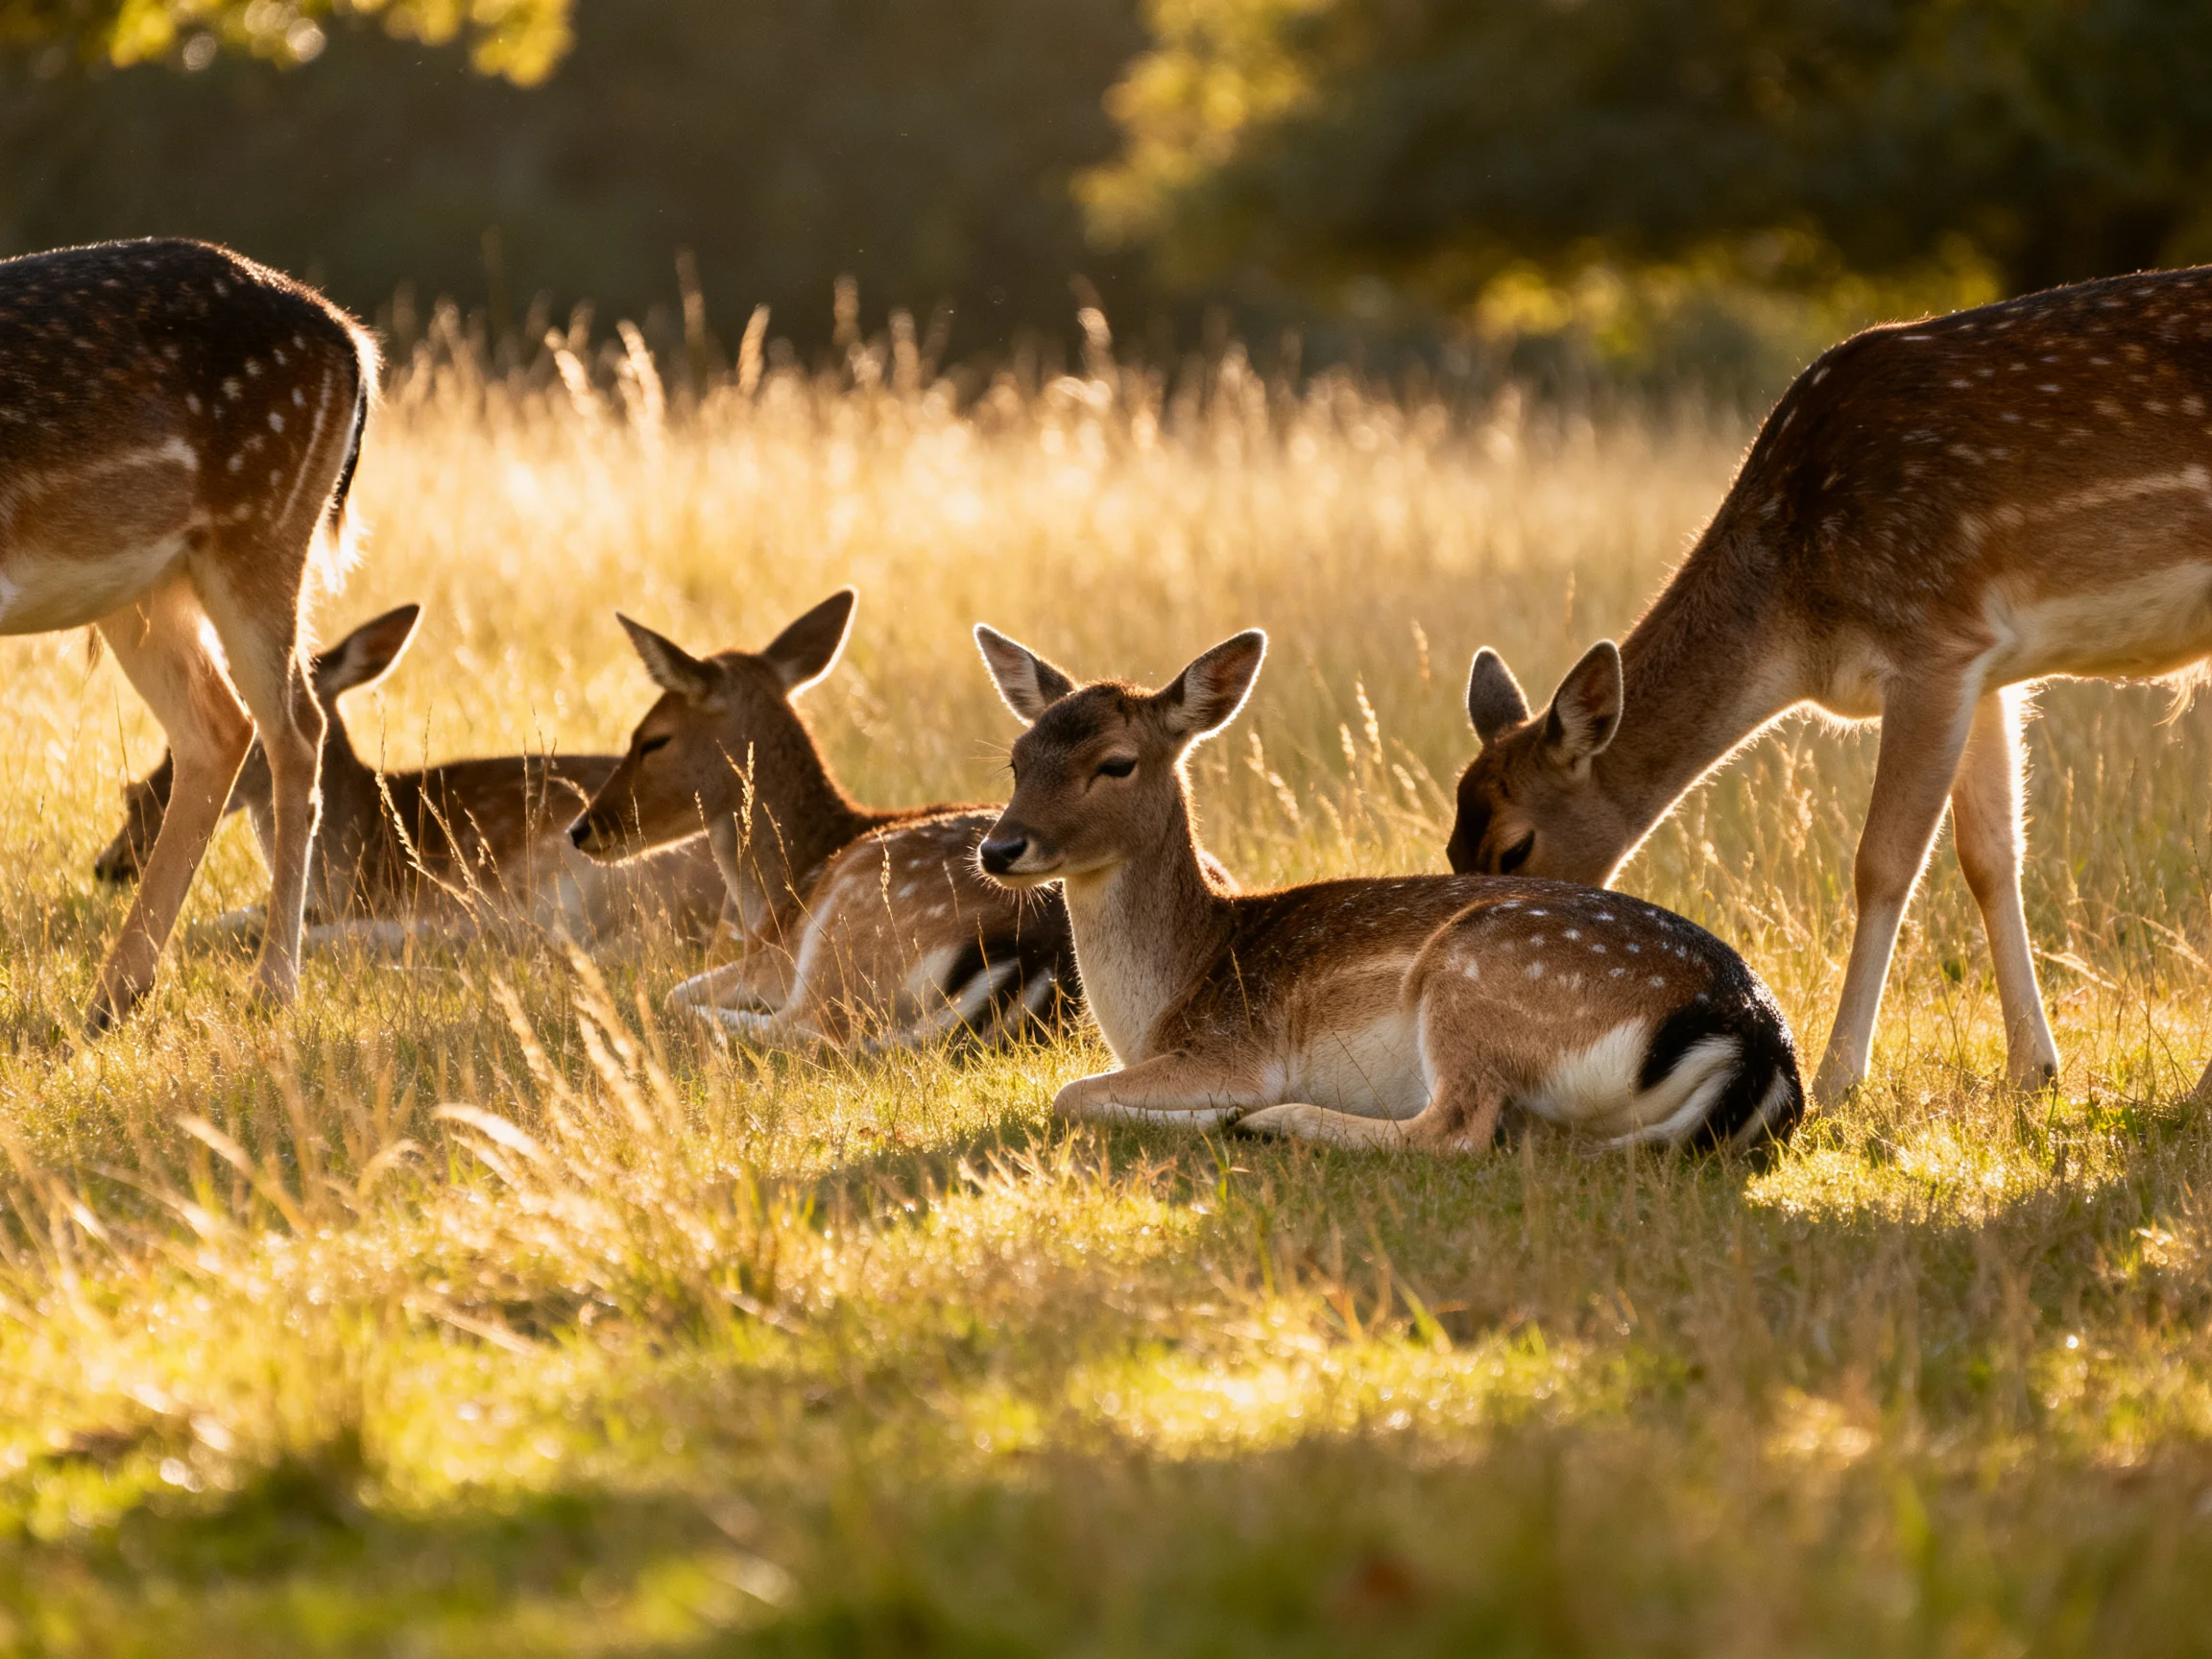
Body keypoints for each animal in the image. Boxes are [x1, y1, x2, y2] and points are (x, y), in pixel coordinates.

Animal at [1, 237, 377, 1029]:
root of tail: (355, 343)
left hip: (261, 528)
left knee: (295, 730)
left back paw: (272, 987)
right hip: (144, 585)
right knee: (219, 726)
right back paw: (116, 996)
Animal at [566, 589, 1078, 1049]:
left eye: (653, 738)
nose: (581, 829)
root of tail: (1038, 959)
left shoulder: (769, 959)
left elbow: (677, 990)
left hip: (844, 933)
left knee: (815, 1033)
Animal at [971, 625, 1803, 1154]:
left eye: (1116, 763)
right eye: (1015, 759)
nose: (999, 847)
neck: (1166, 996)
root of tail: (1757, 1039)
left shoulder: (1234, 1047)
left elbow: (1069, 1095)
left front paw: (1227, 1112)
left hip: (1478, 979)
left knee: (1456, 1130)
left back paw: (1271, 1122)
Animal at [1447, 267, 2212, 1107]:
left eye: (1515, 847)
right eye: (1452, 851)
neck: (1798, 627)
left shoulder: (1931, 636)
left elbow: (1882, 862)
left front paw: (1838, 1079)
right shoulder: (1987, 669)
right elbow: (1991, 853)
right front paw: (2034, 1070)